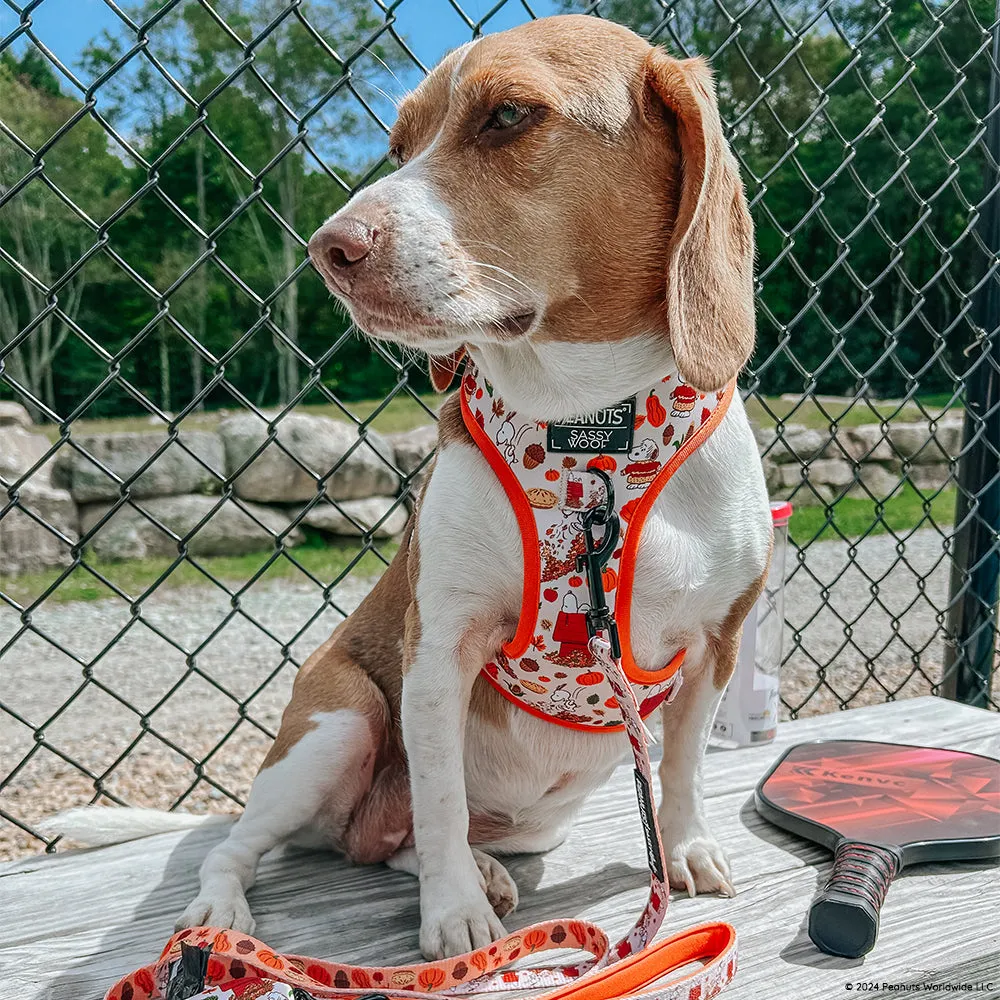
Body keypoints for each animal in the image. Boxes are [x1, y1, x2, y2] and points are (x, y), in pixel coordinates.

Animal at [48, 13, 772, 960]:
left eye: (509, 114)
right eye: (399, 144)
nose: (329, 249)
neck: (592, 435)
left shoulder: (717, 644)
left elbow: (681, 769)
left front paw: (683, 848)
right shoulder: (439, 651)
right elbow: (438, 798)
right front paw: (453, 916)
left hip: (535, 815)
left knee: (392, 843)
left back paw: (480, 865)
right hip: (340, 724)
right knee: (252, 843)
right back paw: (227, 913)